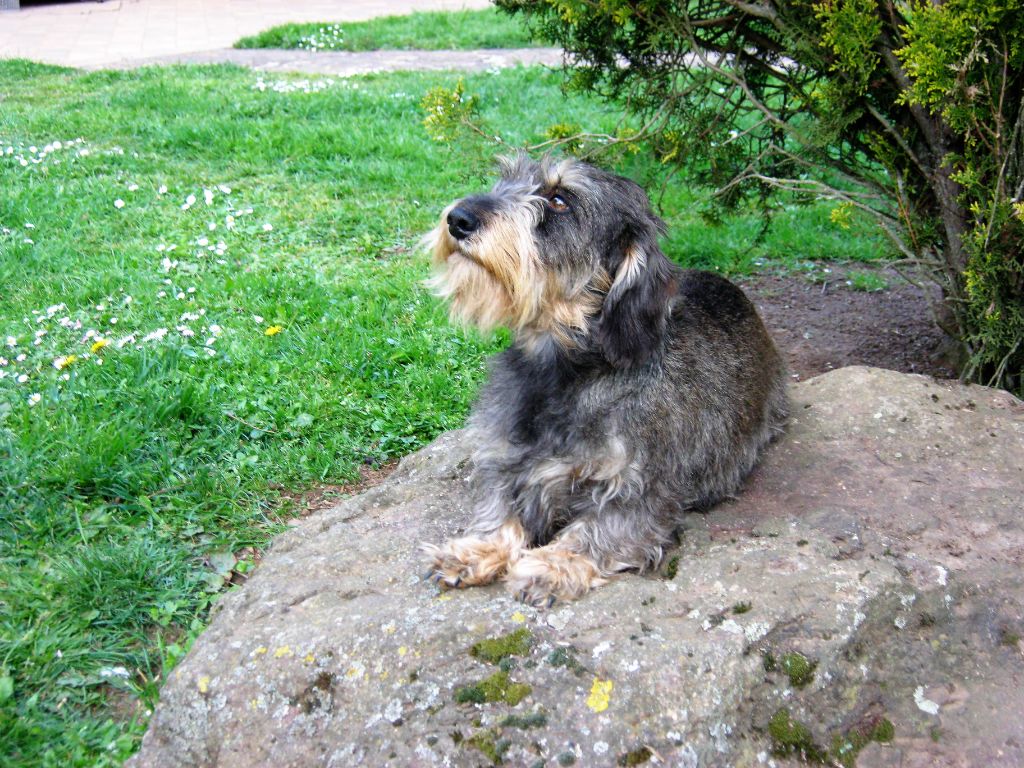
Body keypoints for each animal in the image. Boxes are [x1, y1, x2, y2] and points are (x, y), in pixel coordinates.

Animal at [423, 155, 788, 606]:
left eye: (559, 200)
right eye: (504, 180)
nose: (459, 218)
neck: (569, 371)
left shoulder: (641, 492)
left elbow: (595, 531)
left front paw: (551, 565)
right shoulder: (508, 461)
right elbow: (500, 507)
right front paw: (475, 549)